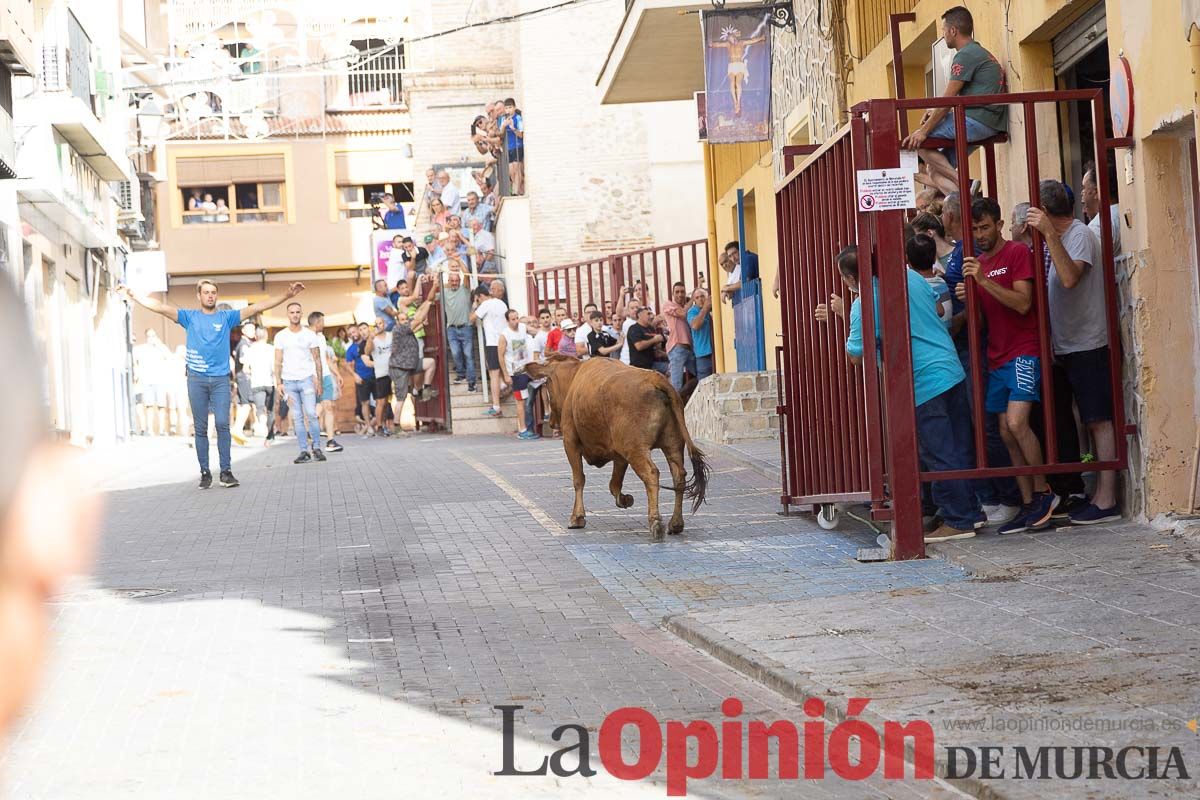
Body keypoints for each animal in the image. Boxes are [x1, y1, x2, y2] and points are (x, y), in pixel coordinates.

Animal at [528, 357, 710, 542]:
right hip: (672, 445)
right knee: (679, 476)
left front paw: (577, 517)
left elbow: (579, 480)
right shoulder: (619, 454)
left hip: (636, 449)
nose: (551, 422)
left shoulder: (570, 442)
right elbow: (614, 483)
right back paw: (676, 523)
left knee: (651, 474)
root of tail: (656, 379)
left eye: (547, 384)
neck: (575, 376)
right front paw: (624, 499)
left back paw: (656, 522)